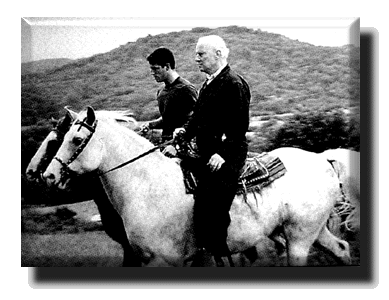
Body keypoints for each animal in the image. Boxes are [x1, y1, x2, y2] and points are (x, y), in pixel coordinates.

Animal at [42, 106, 352, 266]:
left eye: (76, 139)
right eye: (63, 137)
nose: (48, 176)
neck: (146, 186)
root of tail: (322, 159)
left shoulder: (163, 261)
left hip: (299, 238)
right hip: (307, 230)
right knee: (342, 248)